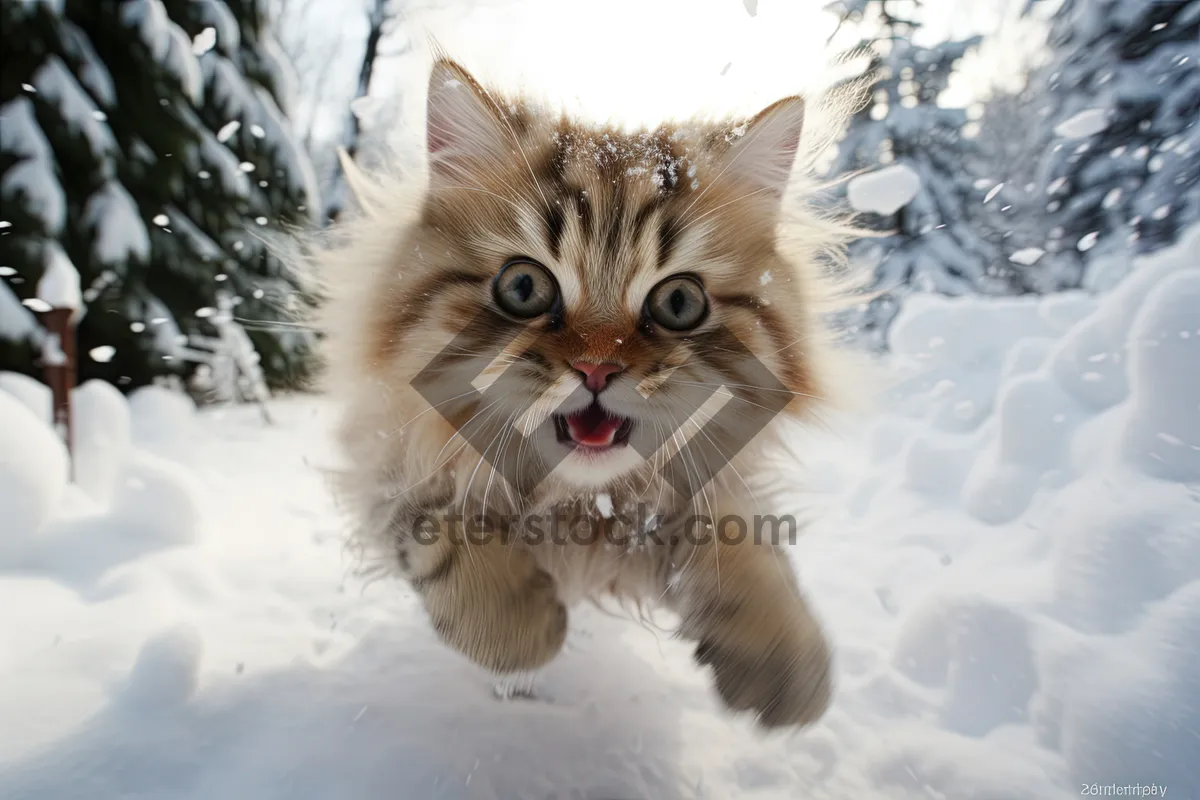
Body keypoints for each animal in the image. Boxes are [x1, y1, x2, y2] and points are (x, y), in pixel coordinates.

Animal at [319, 59, 859, 729]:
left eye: (678, 302)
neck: (576, 506)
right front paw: (523, 626)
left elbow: (747, 554)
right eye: (523, 288)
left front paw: (786, 665)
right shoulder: (389, 463)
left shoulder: (701, 492)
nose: (596, 370)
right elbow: (444, 537)